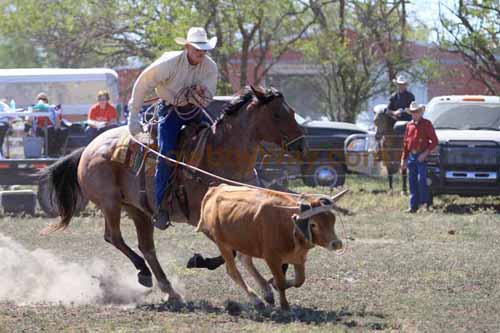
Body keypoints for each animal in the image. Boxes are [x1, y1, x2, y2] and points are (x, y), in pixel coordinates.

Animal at [39, 85, 302, 300]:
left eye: (292, 111)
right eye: (277, 114)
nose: (301, 145)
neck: (218, 158)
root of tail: (88, 148)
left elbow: (245, 250)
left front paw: (271, 284)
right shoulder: (202, 219)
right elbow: (234, 251)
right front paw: (198, 261)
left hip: (138, 209)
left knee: (146, 247)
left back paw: (167, 287)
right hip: (110, 202)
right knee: (114, 237)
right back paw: (144, 273)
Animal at [195, 184, 344, 308]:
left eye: (333, 220)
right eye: (313, 224)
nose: (336, 243)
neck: (288, 225)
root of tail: (215, 190)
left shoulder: (299, 258)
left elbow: (299, 280)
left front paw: (274, 286)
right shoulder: (272, 258)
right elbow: (281, 281)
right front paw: (284, 305)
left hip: (245, 241)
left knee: (245, 260)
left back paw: (267, 292)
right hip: (223, 243)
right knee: (232, 270)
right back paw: (255, 299)